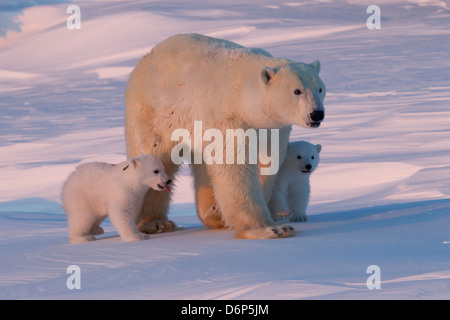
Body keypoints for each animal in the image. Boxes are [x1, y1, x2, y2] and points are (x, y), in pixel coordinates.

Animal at [125, 33, 326, 239]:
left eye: (320, 88)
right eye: (297, 91)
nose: (317, 114)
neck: (243, 95)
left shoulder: (271, 127)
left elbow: (266, 162)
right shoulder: (226, 119)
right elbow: (234, 166)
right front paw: (271, 228)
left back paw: (214, 213)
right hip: (155, 114)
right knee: (155, 156)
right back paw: (156, 222)